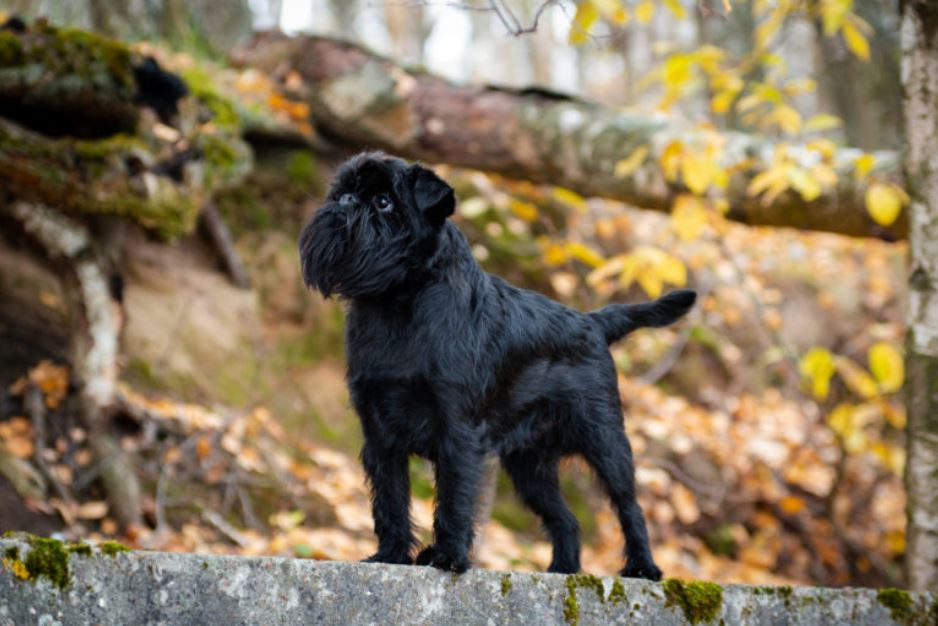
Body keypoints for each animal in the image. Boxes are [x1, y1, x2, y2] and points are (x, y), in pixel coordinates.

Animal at [300, 152, 696, 580]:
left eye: (384, 202)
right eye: (343, 192)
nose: (346, 202)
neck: (397, 302)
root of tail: (593, 322)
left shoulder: (457, 431)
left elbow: (454, 499)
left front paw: (447, 556)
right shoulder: (380, 434)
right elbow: (390, 500)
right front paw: (390, 555)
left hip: (605, 439)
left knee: (627, 503)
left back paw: (643, 566)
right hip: (528, 465)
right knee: (565, 518)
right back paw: (562, 568)